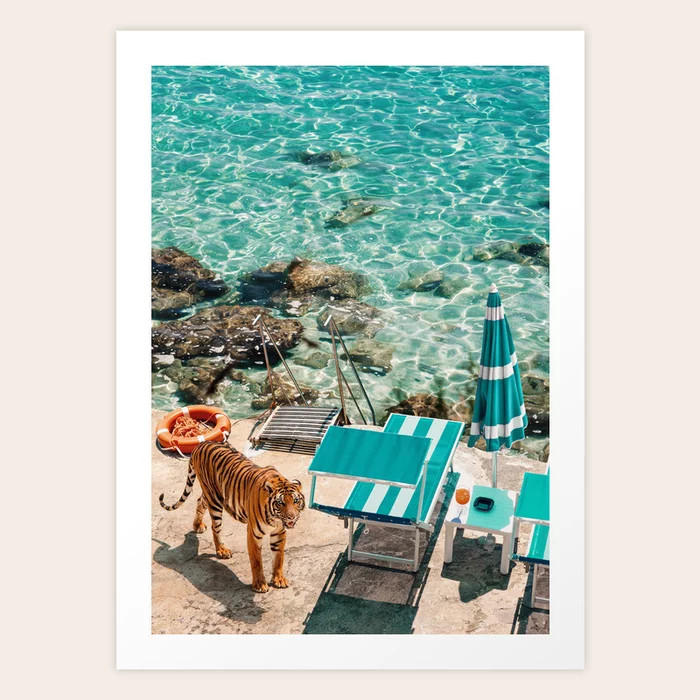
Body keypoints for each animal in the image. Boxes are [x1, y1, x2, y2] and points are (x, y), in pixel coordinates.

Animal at [159, 441, 305, 593]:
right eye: (280, 503)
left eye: (296, 501)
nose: (292, 517)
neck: (275, 519)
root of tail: (201, 444)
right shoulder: (253, 534)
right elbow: (257, 561)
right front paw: (259, 584)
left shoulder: (279, 532)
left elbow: (279, 558)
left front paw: (279, 579)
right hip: (214, 500)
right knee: (215, 527)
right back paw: (221, 550)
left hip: (210, 495)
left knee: (199, 501)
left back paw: (198, 525)